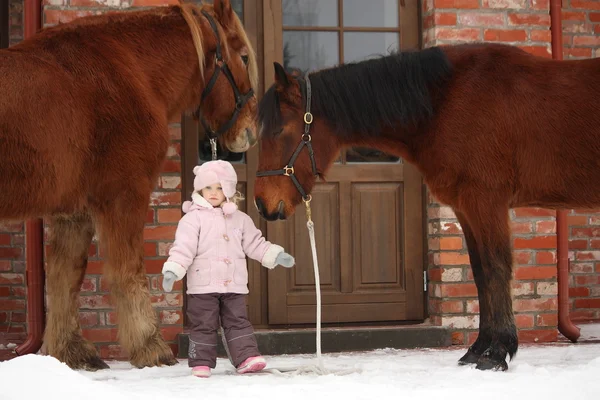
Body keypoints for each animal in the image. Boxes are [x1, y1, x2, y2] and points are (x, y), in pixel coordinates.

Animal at [0, 0, 258, 370]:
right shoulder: (124, 196)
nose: (249, 133)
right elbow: (129, 271)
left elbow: (66, 276)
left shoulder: (74, 212)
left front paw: (69, 350)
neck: (130, 72)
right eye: (245, 57)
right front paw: (149, 345)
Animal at [255, 43, 600, 372]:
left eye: (279, 131)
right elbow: (479, 273)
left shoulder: (486, 201)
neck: (446, 100)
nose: (262, 203)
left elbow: (496, 268)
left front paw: (499, 352)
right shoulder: (465, 207)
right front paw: (478, 350)